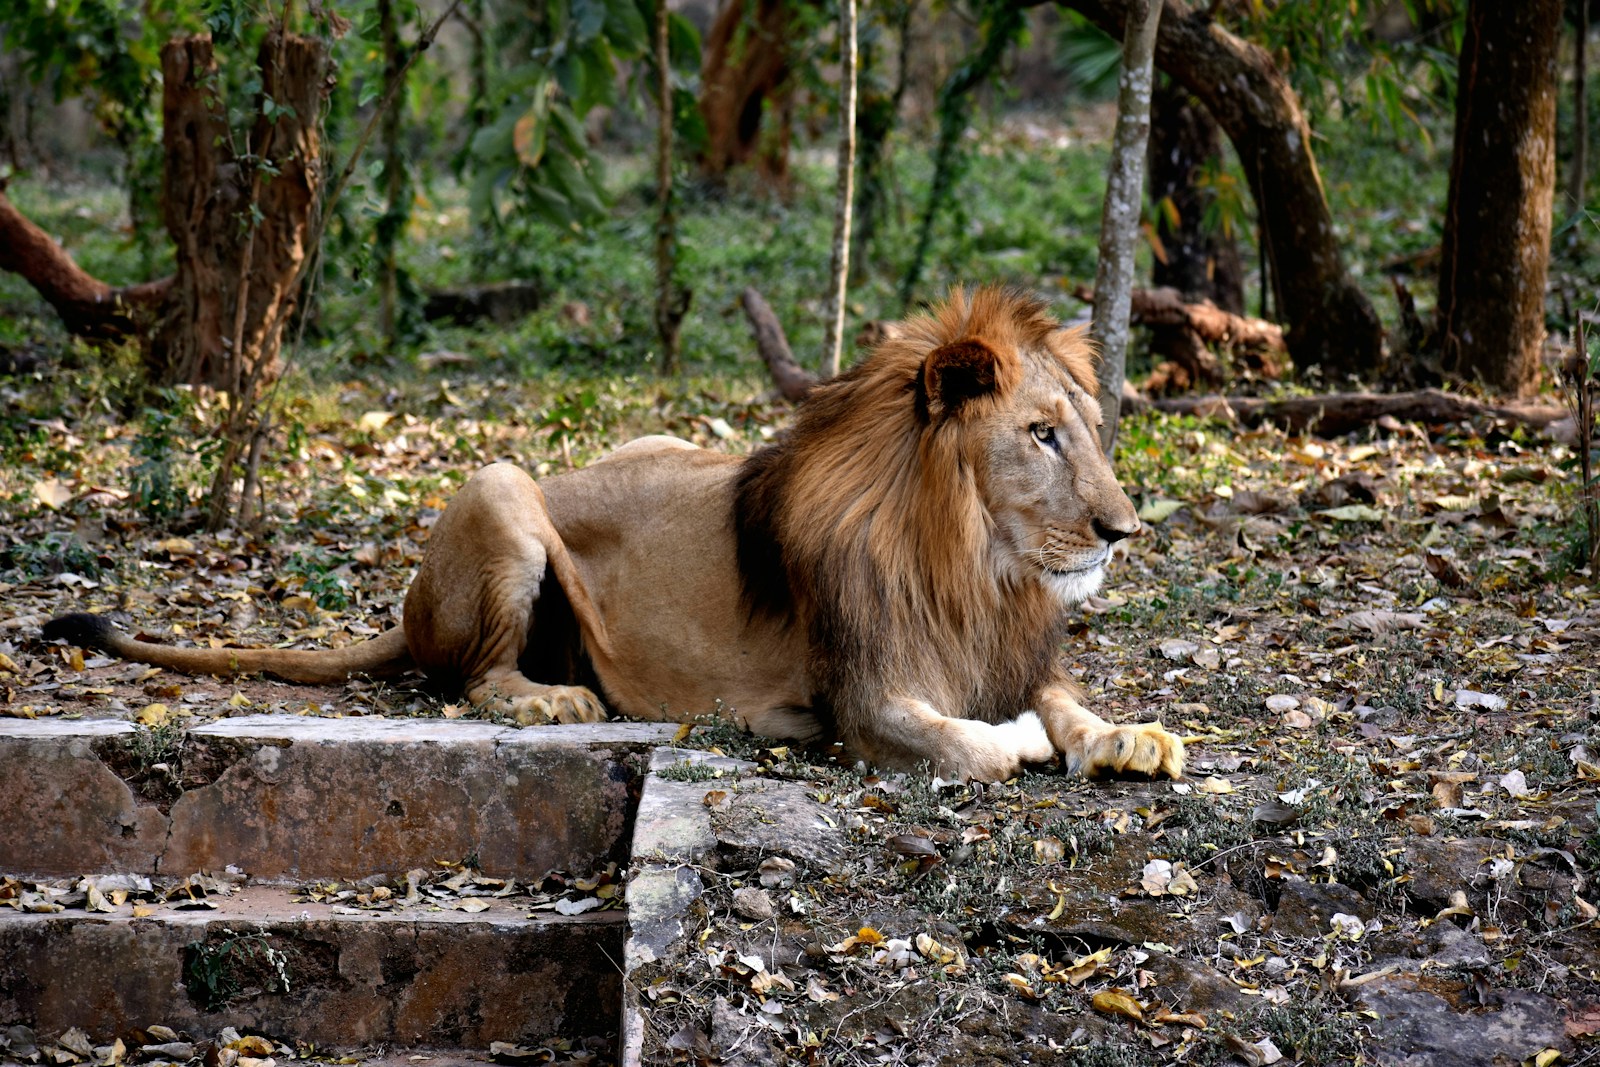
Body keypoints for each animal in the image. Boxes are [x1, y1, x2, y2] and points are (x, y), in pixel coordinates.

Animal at [40, 287, 1190, 780]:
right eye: (1039, 434)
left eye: (1086, 429)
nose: (1124, 529)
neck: (973, 563)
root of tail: (407, 607)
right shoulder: (861, 696)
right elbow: (974, 743)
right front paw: (1024, 739)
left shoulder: (1006, 646)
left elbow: (1066, 701)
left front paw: (1128, 734)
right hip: (501, 486)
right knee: (470, 679)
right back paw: (551, 697)